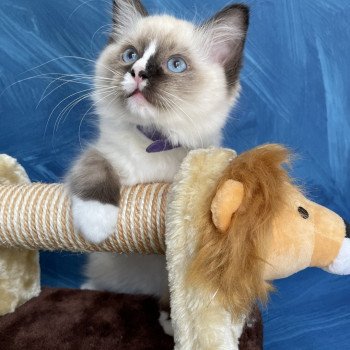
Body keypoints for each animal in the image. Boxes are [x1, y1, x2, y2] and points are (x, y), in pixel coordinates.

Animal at [66, 0, 249, 334]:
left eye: (175, 65)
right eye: (130, 55)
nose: (137, 72)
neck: (153, 142)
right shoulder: (101, 153)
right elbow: (96, 169)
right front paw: (97, 221)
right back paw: (90, 288)